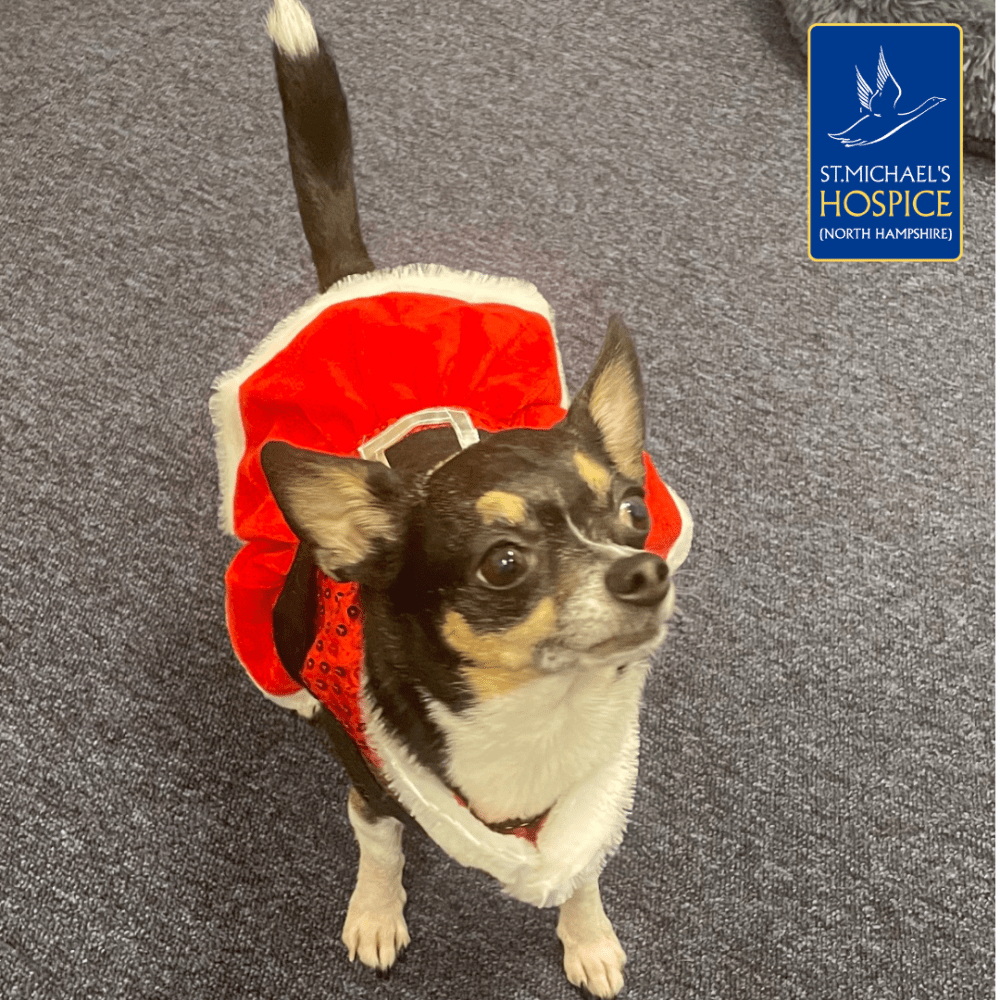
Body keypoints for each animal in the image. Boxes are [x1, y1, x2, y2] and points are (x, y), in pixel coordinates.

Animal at [216, 3, 692, 996]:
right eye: (502, 563)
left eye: (633, 512)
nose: (645, 570)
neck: (538, 716)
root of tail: (357, 286)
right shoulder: (371, 778)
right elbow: (383, 845)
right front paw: (375, 913)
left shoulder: (594, 794)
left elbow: (582, 866)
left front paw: (586, 936)